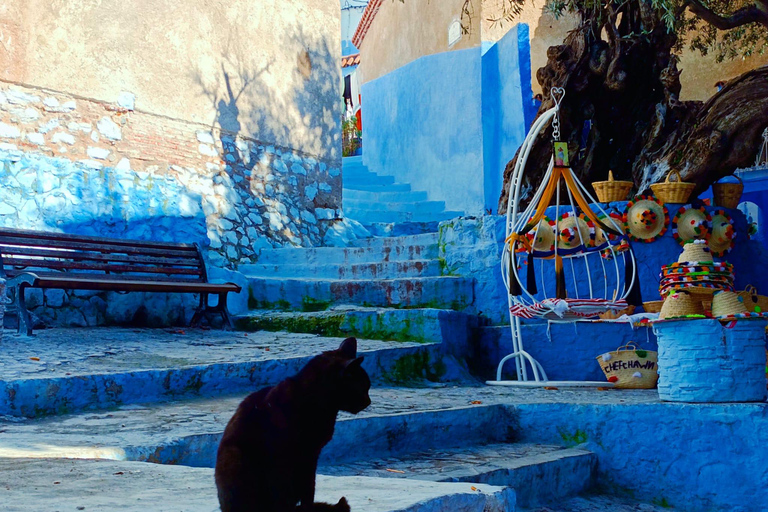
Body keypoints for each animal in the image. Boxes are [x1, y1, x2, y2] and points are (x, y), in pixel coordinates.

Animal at [216, 338, 372, 510]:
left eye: (368, 387)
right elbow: (283, 492)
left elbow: (309, 490)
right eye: (364, 387)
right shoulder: (282, 458)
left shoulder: (311, 456)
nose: (369, 401)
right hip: (236, 458)